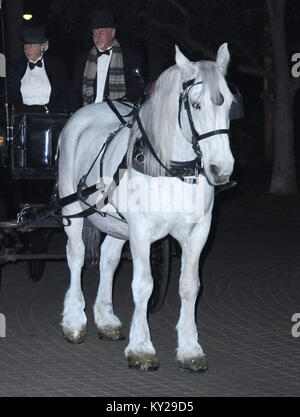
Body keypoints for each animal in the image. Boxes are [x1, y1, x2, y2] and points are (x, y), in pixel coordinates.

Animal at [56, 44, 234, 372]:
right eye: (195, 104)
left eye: (228, 102)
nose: (221, 169)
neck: (171, 170)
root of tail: (86, 112)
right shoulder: (141, 232)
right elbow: (143, 285)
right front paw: (141, 348)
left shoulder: (198, 232)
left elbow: (189, 286)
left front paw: (190, 349)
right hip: (71, 207)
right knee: (75, 256)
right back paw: (74, 321)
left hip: (117, 224)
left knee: (108, 260)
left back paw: (106, 319)